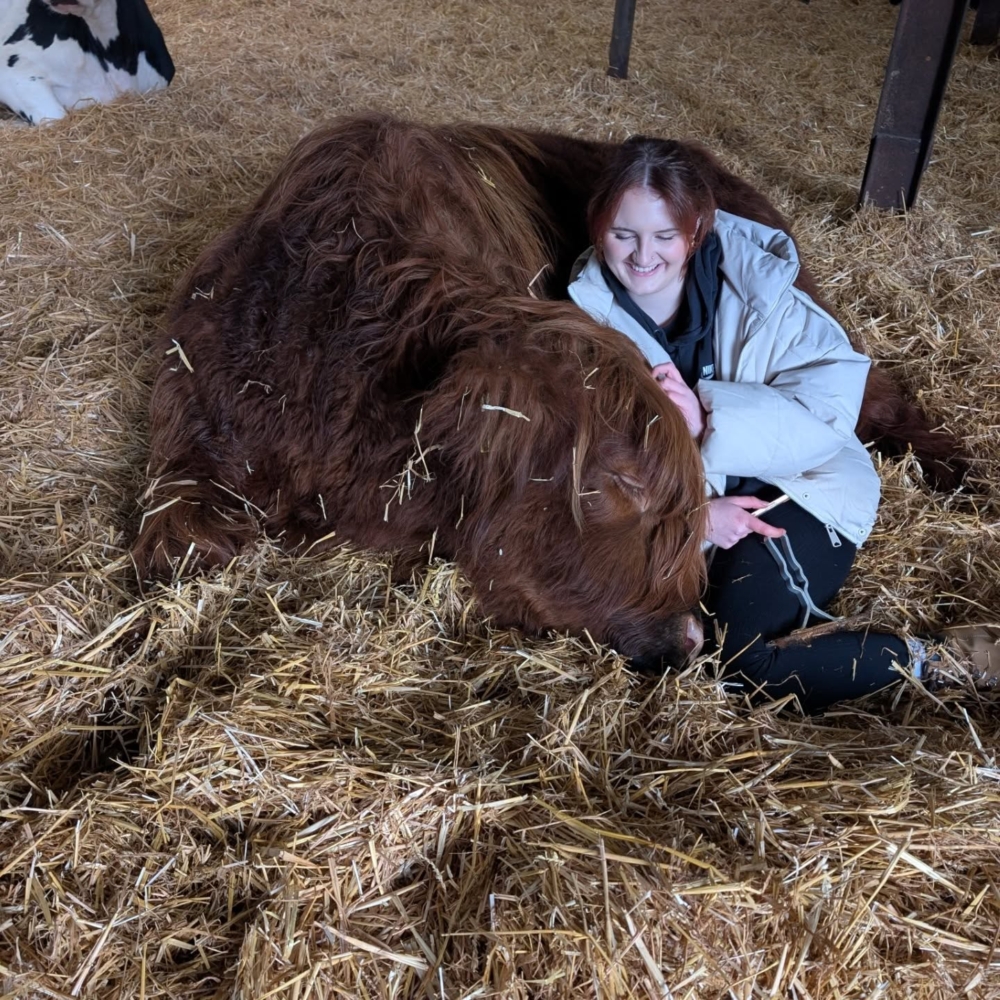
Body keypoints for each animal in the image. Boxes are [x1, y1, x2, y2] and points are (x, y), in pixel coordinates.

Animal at [132, 113, 964, 669]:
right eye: (614, 485)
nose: (692, 632)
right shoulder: (190, 425)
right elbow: (171, 548)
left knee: (867, 387)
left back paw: (956, 470)